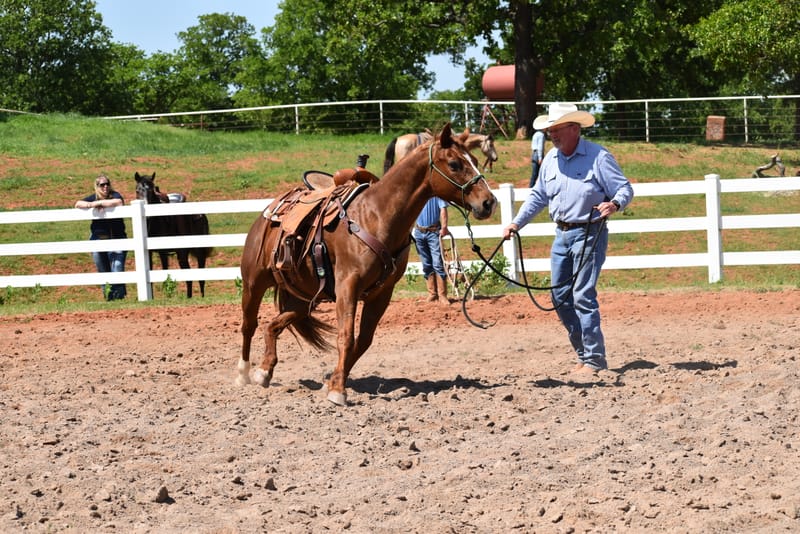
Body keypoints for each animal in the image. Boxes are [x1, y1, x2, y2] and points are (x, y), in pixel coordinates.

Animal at [136, 172, 214, 300]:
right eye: (137, 190)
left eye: (151, 189)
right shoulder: (151, 253)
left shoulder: (164, 252)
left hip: (194, 251)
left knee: (199, 275)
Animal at [236, 123, 494, 406]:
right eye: (454, 164)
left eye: (475, 161)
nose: (489, 202)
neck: (376, 216)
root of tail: (271, 209)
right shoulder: (348, 286)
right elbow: (346, 337)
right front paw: (338, 392)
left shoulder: (381, 294)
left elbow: (363, 341)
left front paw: (333, 382)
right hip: (254, 282)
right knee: (249, 325)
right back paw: (244, 373)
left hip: (305, 299)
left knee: (274, 325)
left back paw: (264, 371)